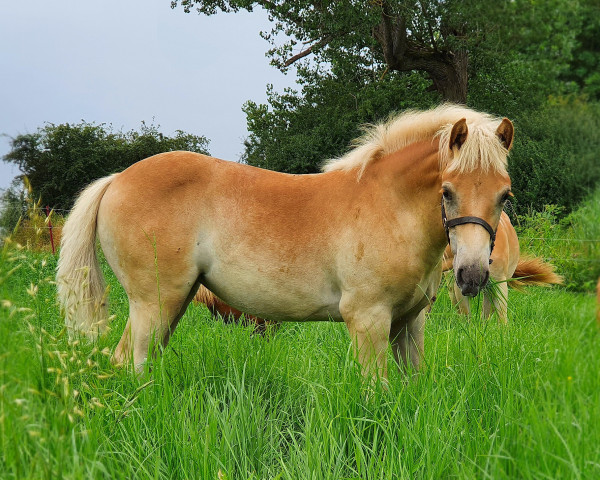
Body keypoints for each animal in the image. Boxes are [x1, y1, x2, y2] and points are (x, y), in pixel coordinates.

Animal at [55, 104, 516, 378]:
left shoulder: (409, 322)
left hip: (176, 301)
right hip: (154, 303)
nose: (472, 276)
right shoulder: (368, 320)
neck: (389, 205)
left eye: (504, 195)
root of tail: (117, 179)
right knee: (130, 363)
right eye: (447, 191)